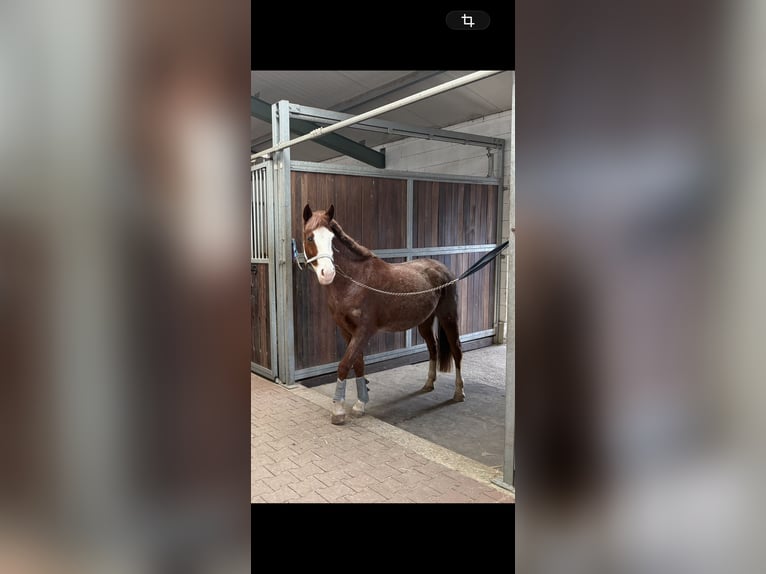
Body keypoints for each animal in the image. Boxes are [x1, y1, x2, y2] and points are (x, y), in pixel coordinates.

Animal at [301, 203, 464, 425]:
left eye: (332, 239)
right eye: (310, 237)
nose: (328, 273)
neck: (355, 282)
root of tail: (442, 269)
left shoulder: (364, 331)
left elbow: (345, 365)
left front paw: (339, 411)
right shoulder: (346, 330)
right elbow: (358, 364)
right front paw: (360, 404)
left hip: (448, 317)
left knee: (456, 350)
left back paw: (458, 393)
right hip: (424, 322)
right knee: (433, 348)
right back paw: (428, 384)